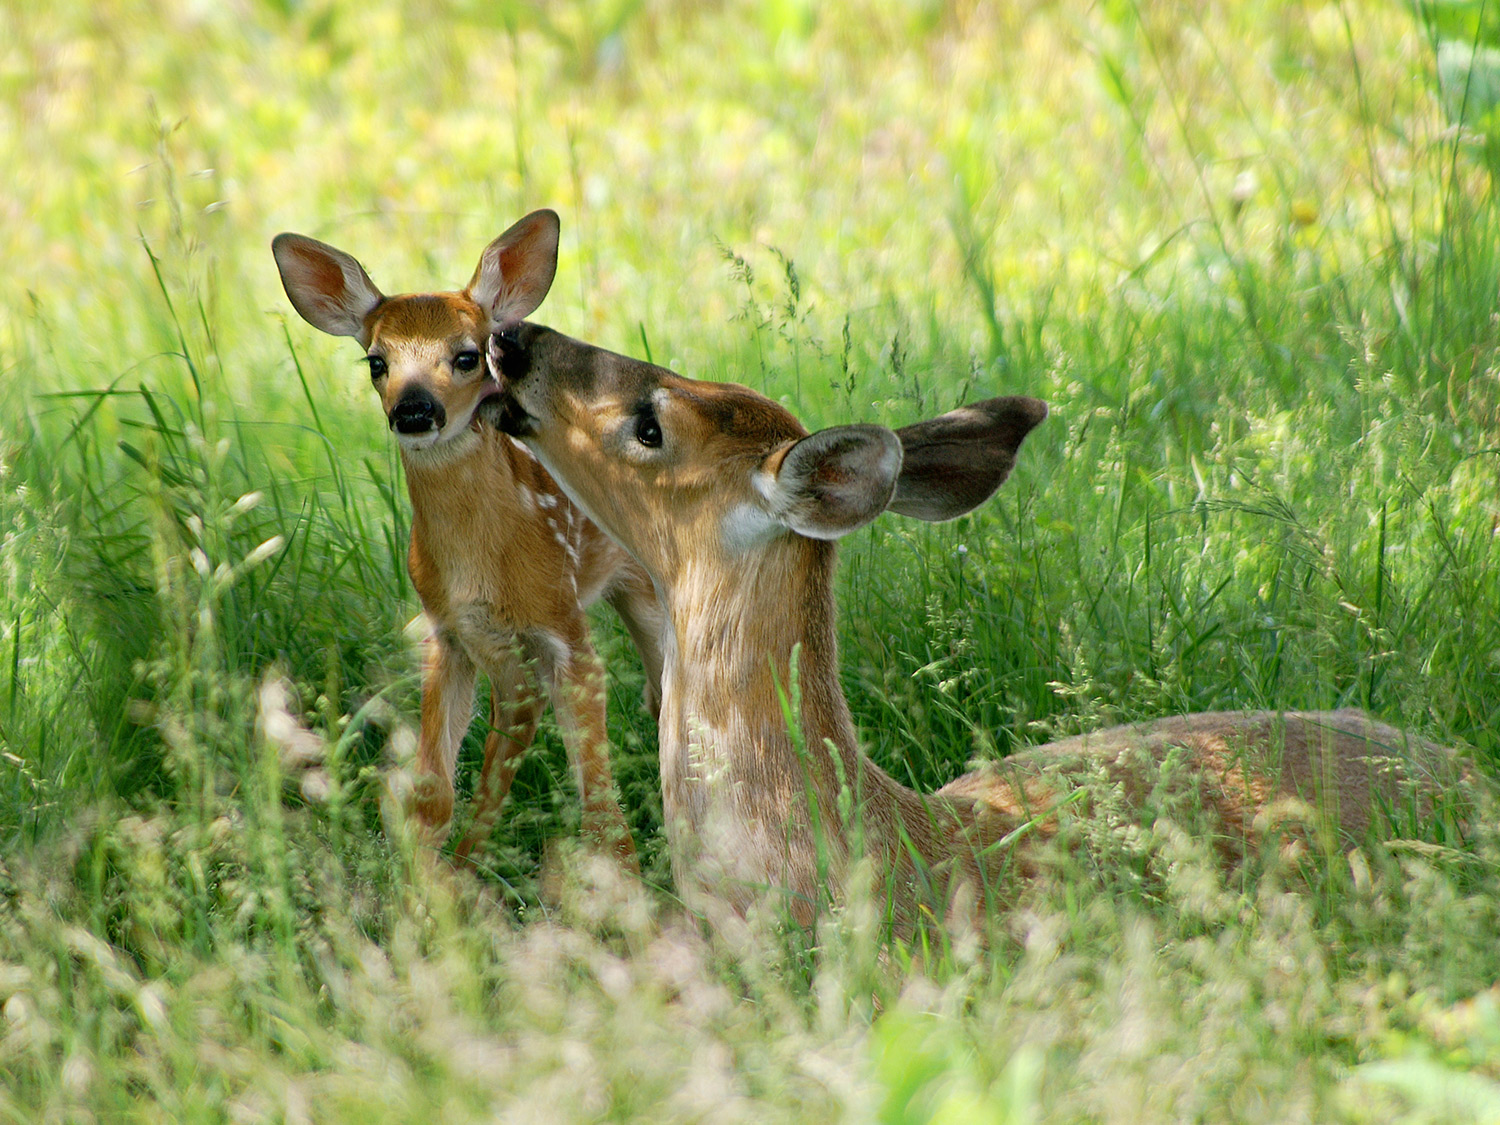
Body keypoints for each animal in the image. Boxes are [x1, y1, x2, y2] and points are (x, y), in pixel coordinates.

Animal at [274, 211, 663, 870]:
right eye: (375, 361)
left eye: (465, 356)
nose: (414, 410)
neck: (482, 560)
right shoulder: (448, 631)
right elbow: (433, 790)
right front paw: (430, 882)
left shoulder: (562, 621)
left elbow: (597, 793)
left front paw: (625, 876)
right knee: (521, 724)